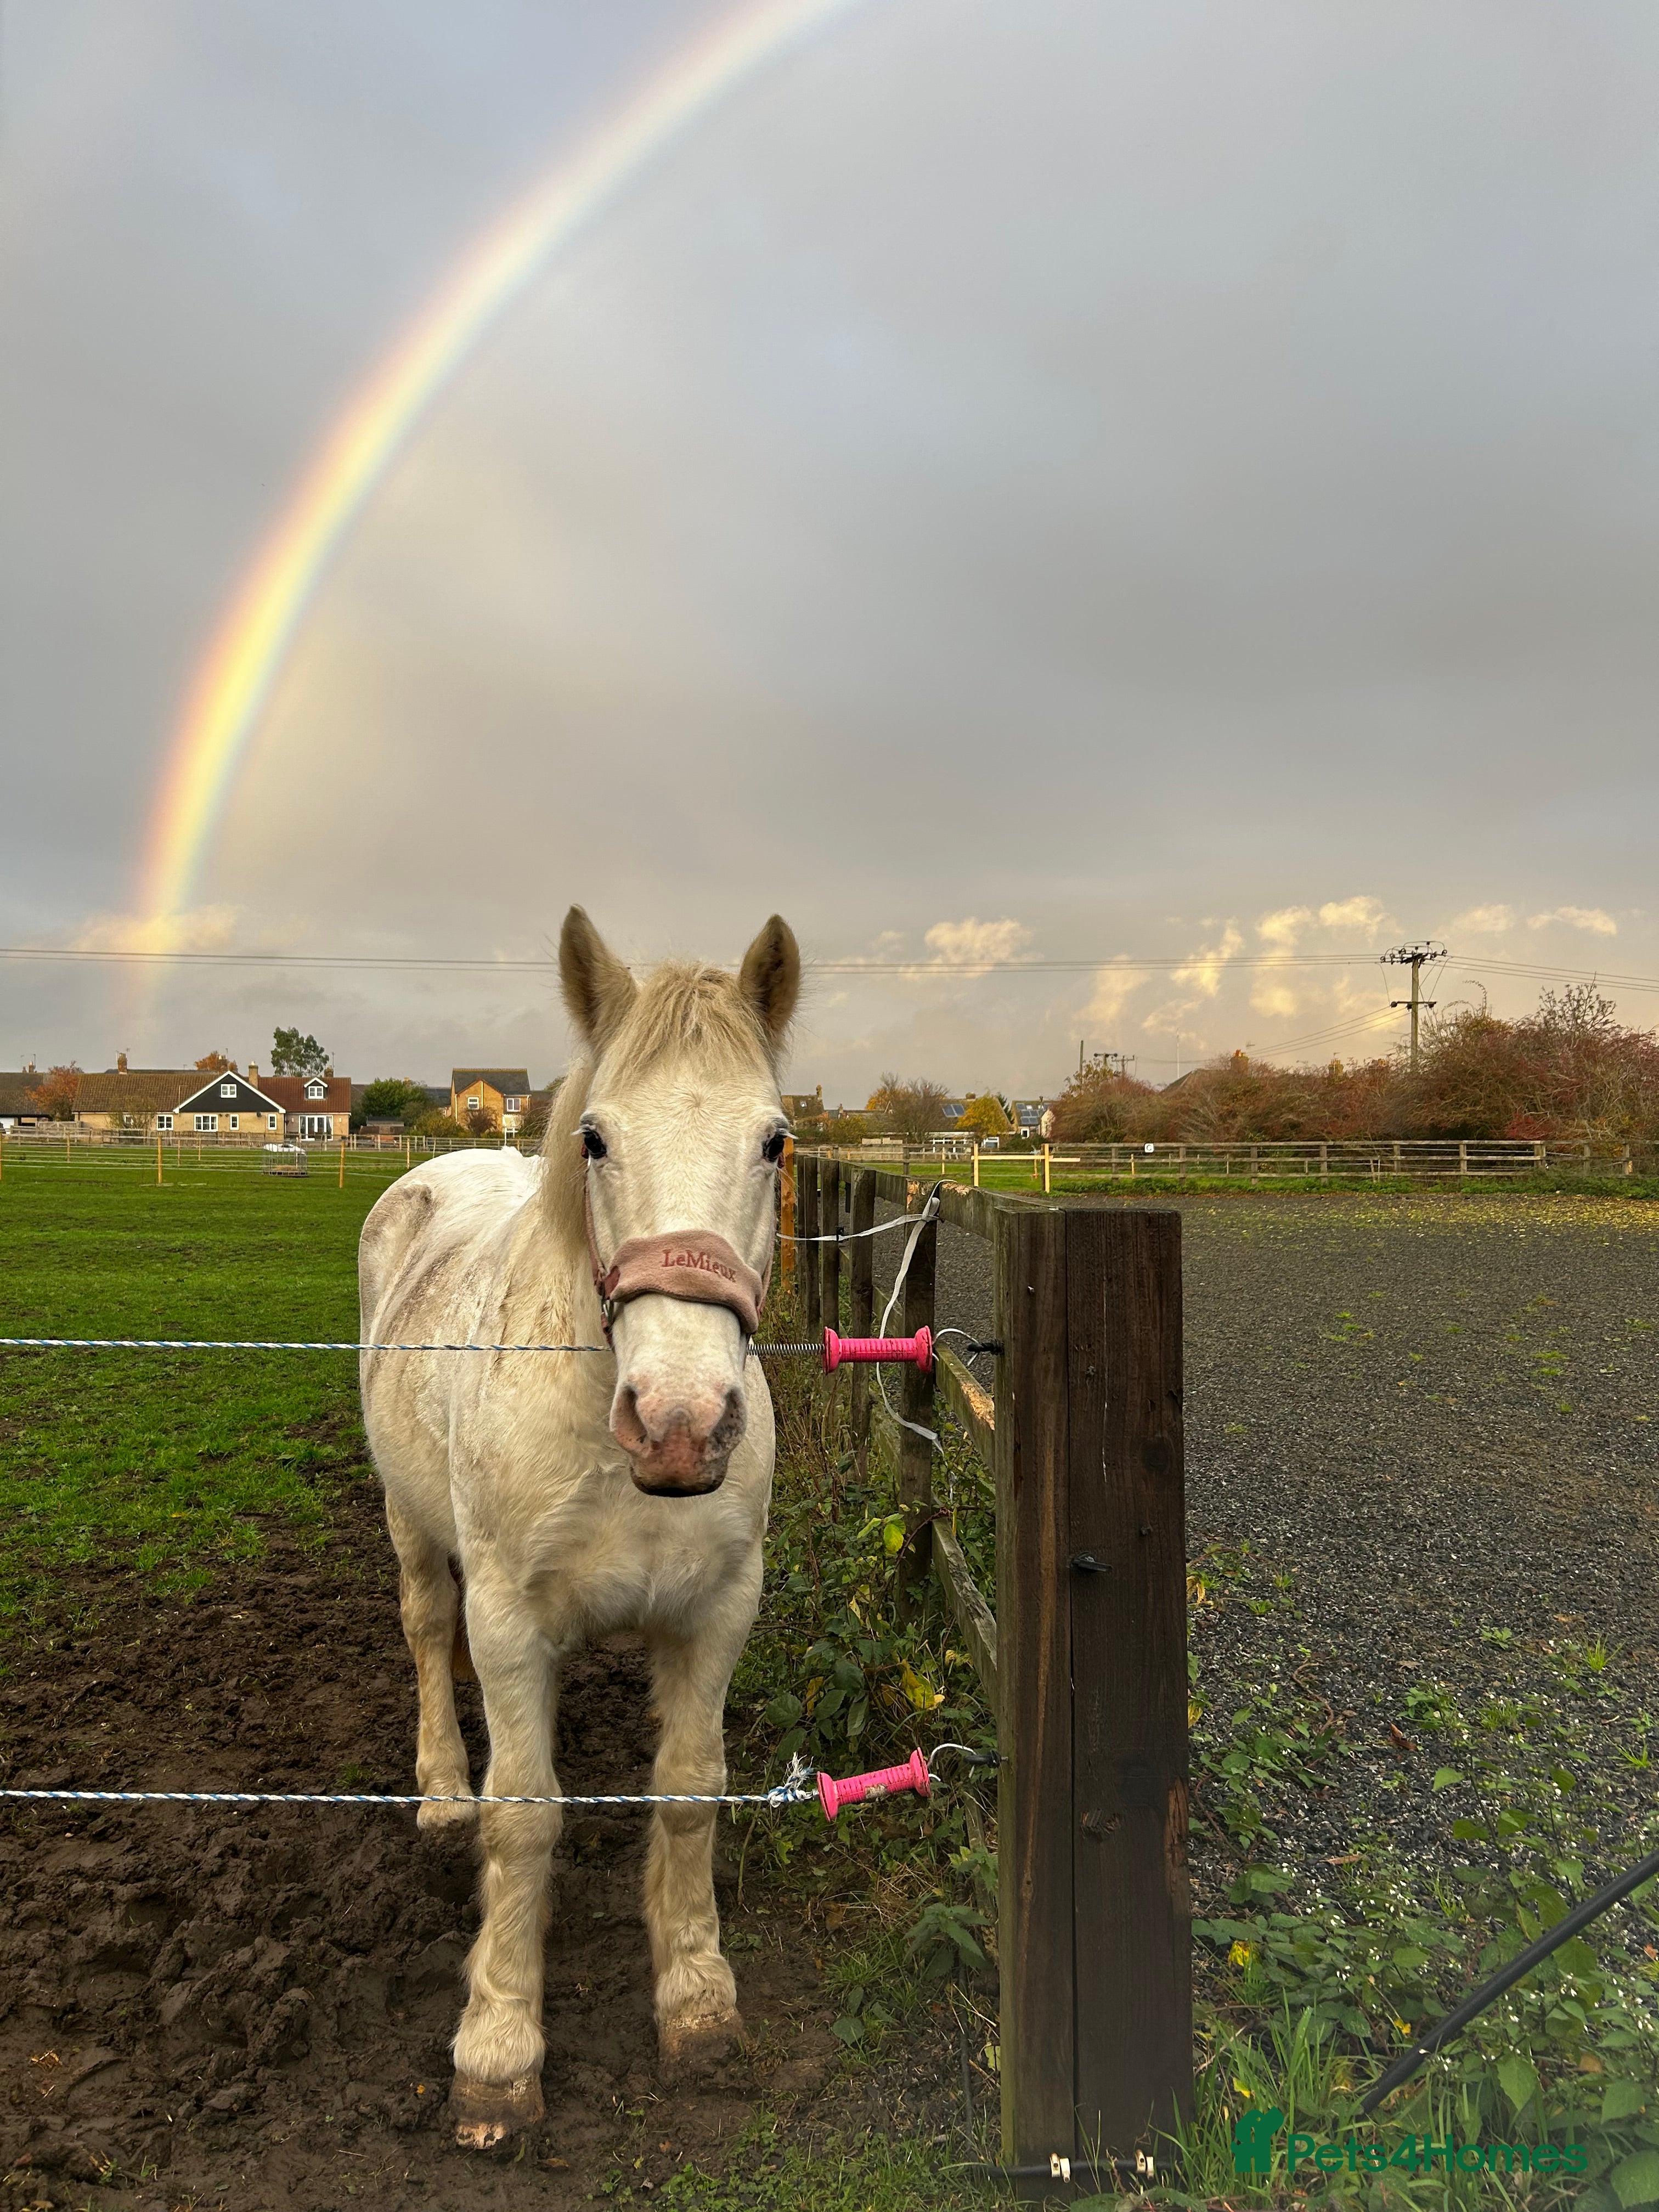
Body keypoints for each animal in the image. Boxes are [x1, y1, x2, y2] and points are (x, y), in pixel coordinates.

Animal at [357, 907, 800, 2148]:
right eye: (596, 1138)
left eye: (776, 1143)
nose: (682, 1423)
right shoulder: (512, 1624)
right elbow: (524, 1817)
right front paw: (499, 2047)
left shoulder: (715, 1614)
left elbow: (690, 1791)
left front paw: (696, 1997)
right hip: (411, 1526)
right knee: (428, 1633)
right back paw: (440, 1789)